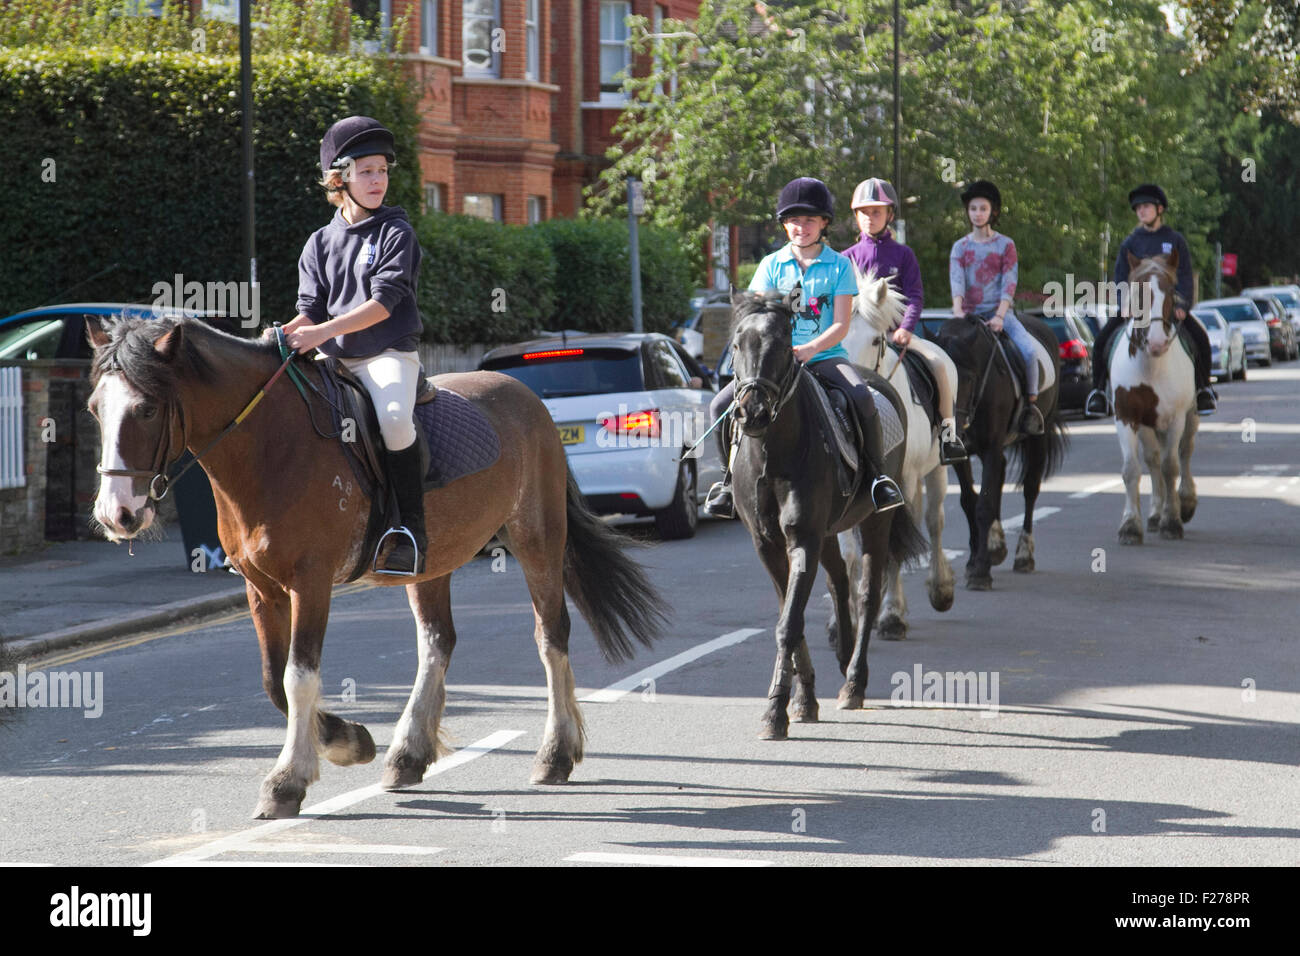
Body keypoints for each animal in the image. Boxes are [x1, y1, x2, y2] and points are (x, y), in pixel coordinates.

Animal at [86, 316, 665, 822]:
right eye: (95, 409)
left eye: (146, 409)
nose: (117, 515)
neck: (270, 447)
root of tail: (528, 398)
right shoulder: (262, 589)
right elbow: (274, 680)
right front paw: (348, 740)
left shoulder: (310, 583)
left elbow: (299, 677)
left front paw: (286, 783)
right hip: (432, 563)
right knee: (437, 641)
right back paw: (407, 755)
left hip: (536, 540)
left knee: (551, 635)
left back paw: (554, 755)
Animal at [728, 287, 930, 738]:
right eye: (736, 344)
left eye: (783, 344)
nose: (752, 412)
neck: (773, 451)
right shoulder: (768, 544)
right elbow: (792, 615)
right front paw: (802, 700)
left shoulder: (803, 537)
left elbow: (789, 623)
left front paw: (775, 712)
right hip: (830, 533)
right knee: (840, 580)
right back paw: (842, 649)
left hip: (875, 521)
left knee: (868, 592)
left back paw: (854, 681)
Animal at [935, 316, 1066, 590]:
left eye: (969, 379)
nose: (953, 433)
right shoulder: (961, 456)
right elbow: (969, 501)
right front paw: (975, 559)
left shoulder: (991, 448)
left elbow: (984, 505)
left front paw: (980, 572)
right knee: (1000, 479)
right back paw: (996, 546)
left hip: (1039, 437)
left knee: (1030, 489)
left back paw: (1023, 555)